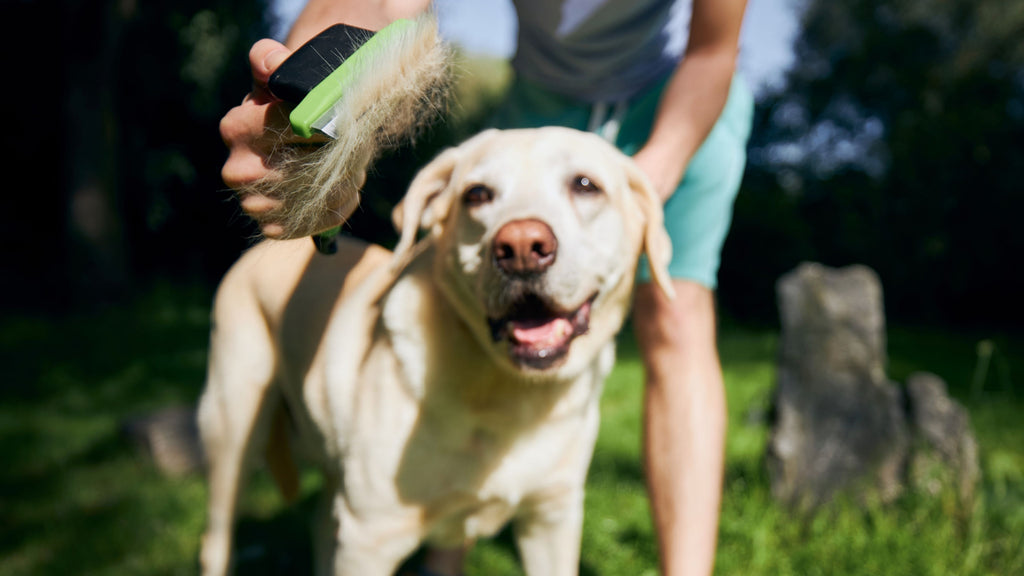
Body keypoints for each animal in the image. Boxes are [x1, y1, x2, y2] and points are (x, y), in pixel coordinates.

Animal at [195, 126, 675, 573]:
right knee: (217, 538)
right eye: (477, 194)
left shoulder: (552, 519)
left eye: (585, 185)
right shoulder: (369, 537)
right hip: (234, 428)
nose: (521, 247)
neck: (507, 393)